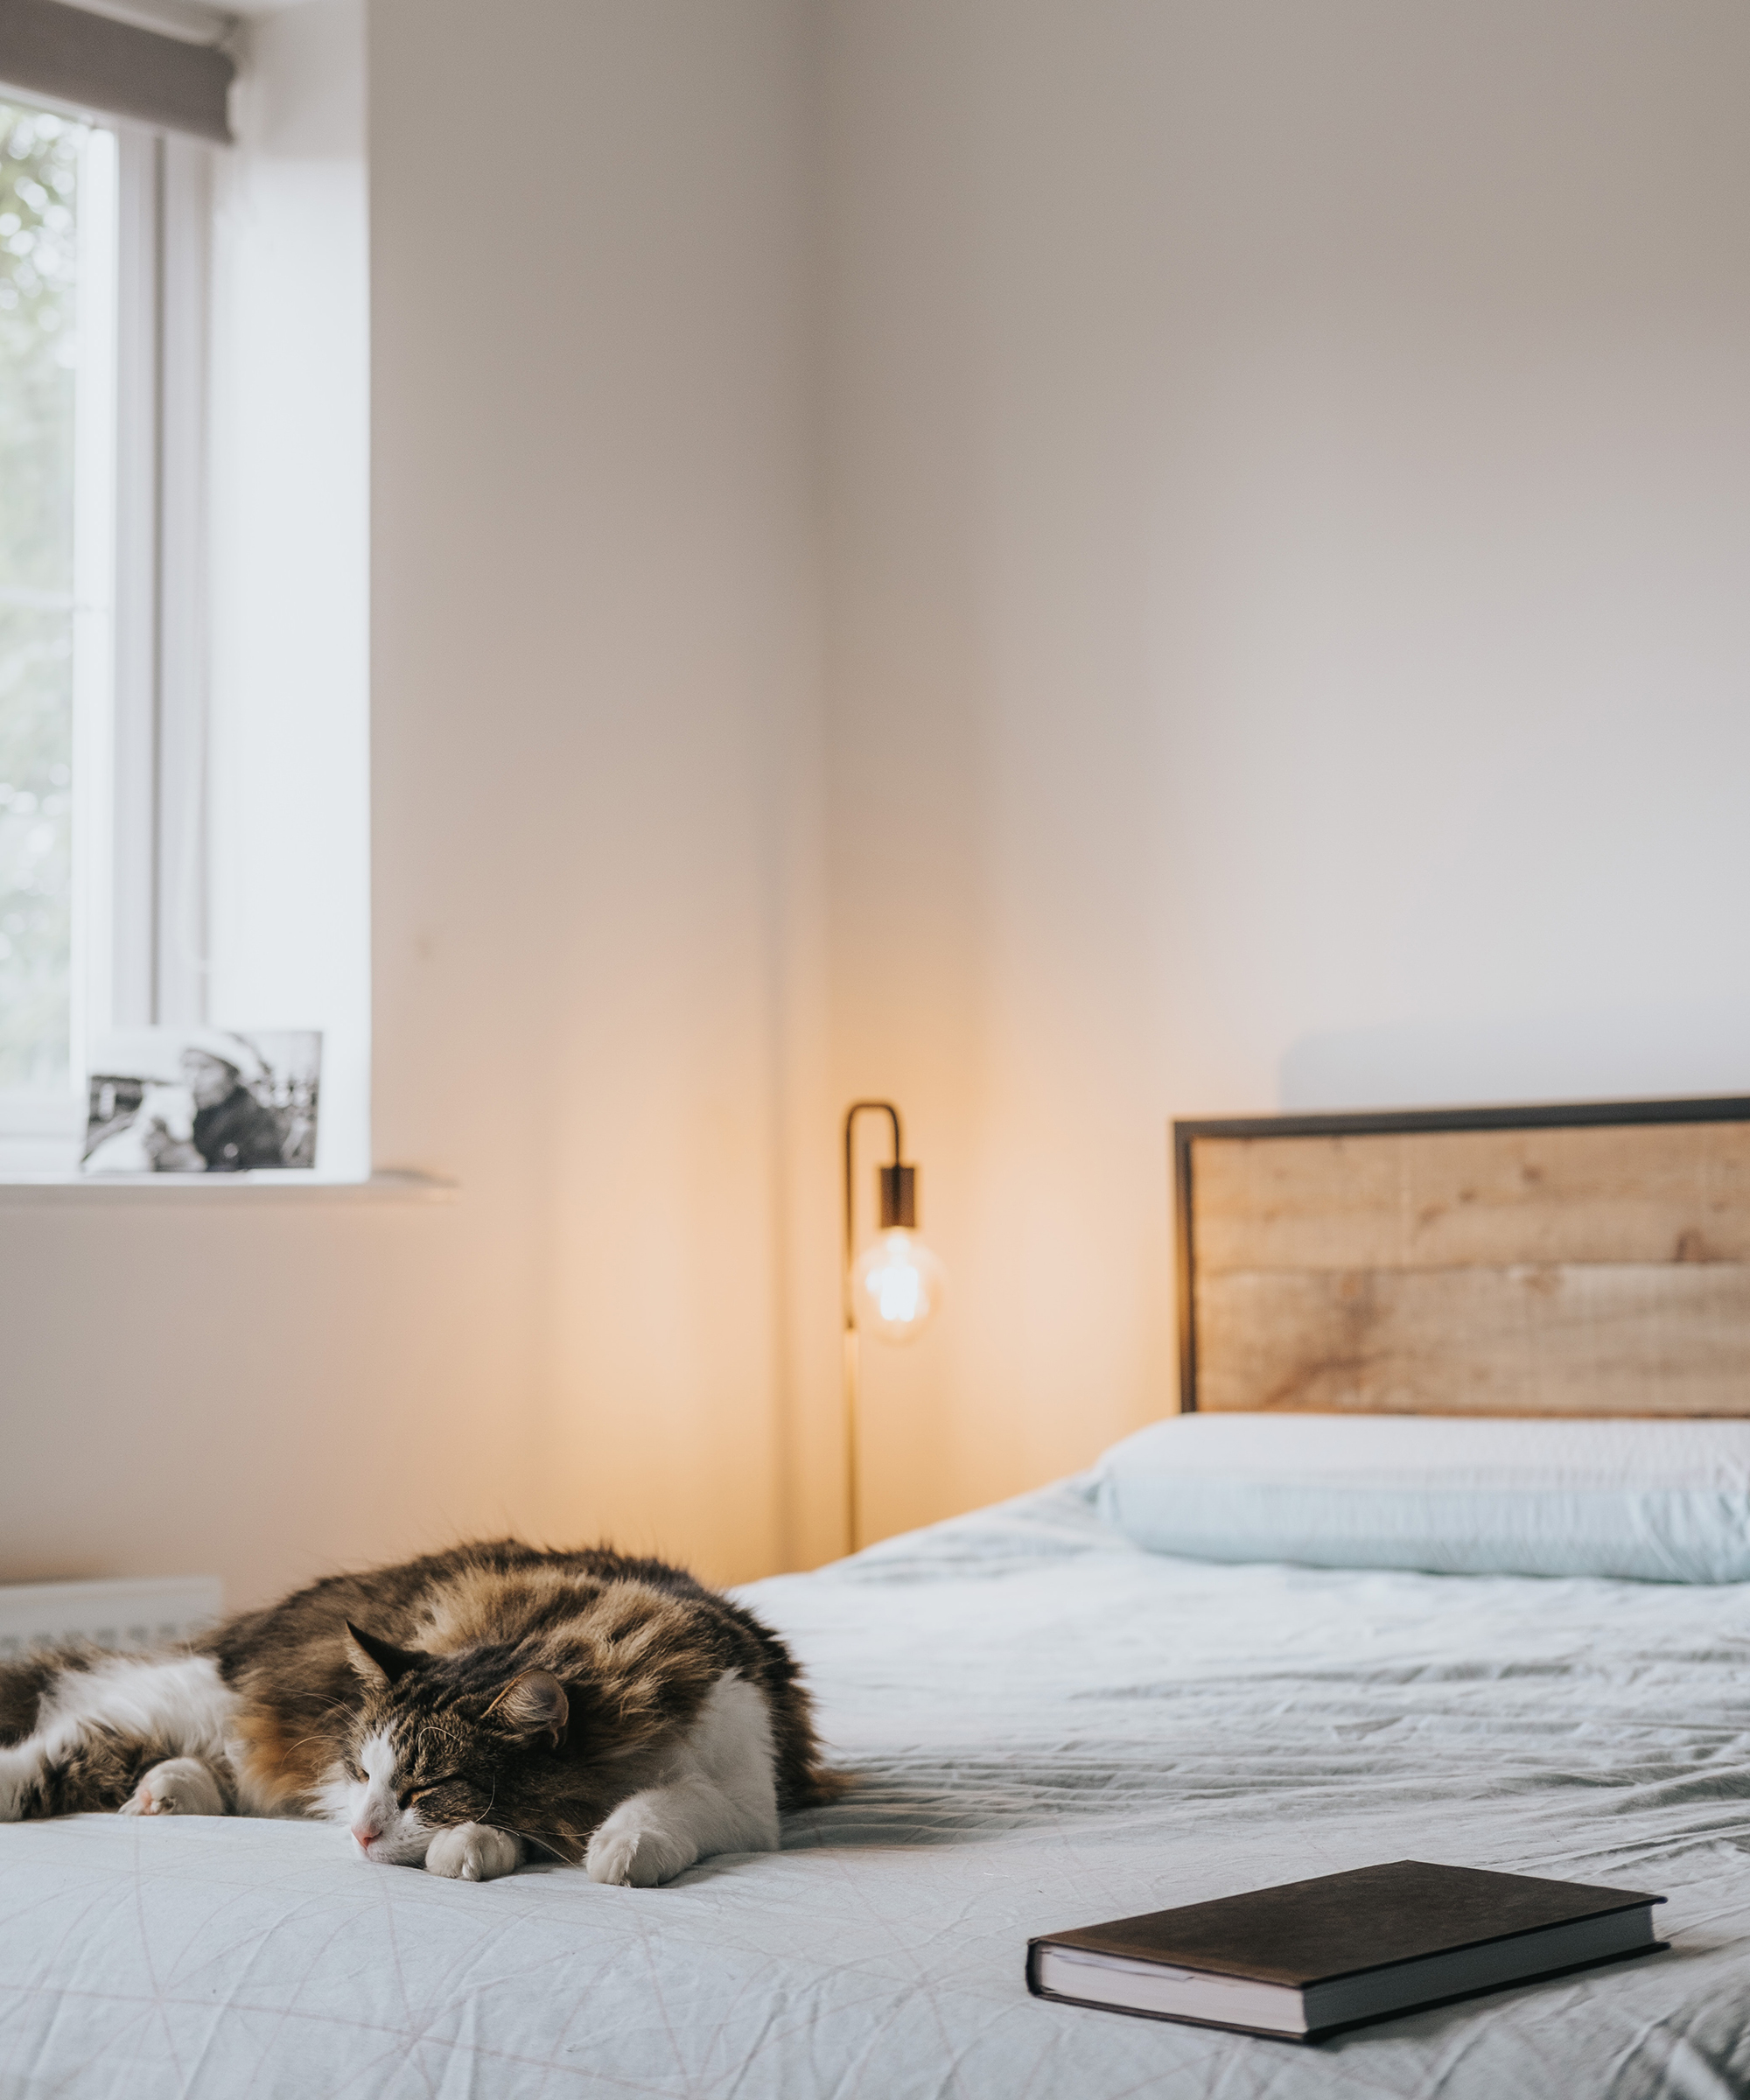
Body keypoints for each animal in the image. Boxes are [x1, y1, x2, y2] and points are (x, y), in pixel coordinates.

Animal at [0, 1545, 848, 1890]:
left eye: (424, 1789)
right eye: (360, 1771)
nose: (357, 1832)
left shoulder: (747, 1785)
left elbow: (667, 1805)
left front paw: (616, 1849)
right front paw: (477, 1848)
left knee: (197, 1767)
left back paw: (166, 1793)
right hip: (196, 1696)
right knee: (73, 1733)